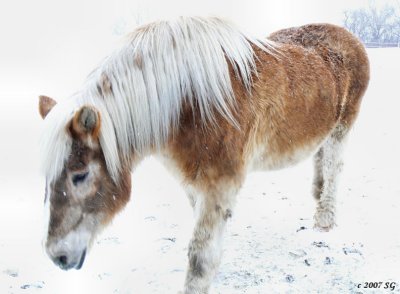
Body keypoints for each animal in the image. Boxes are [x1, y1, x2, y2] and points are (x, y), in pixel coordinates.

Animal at [37, 16, 368, 294]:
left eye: (80, 175)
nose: (57, 256)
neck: (189, 103)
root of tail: (347, 35)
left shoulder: (219, 185)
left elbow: (200, 258)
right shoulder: (194, 184)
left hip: (342, 129)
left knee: (334, 167)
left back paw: (324, 218)